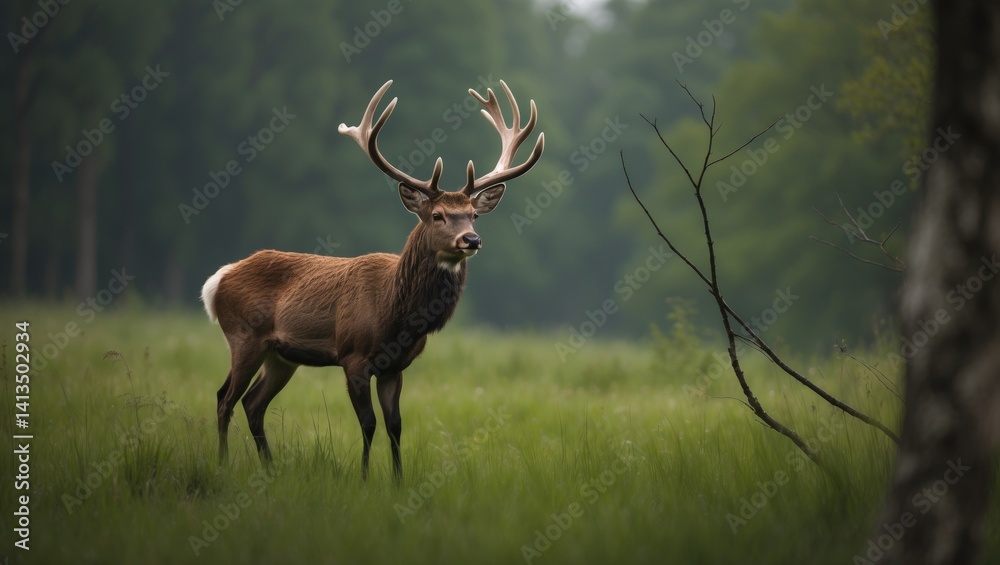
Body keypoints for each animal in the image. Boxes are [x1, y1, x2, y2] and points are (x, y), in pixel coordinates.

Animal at [201, 79, 544, 481]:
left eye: (473, 214)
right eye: (438, 215)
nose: (471, 240)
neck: (394, 313)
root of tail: (217, 280)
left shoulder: (396, 367)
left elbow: (395, 425)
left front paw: (397, 480)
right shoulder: (353, 356)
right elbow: (368, 423)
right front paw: (364, 478)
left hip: (281, 356)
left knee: (253, 404)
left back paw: (269, 468)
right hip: (244, 336)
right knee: (225, 398)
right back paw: (222, 463)